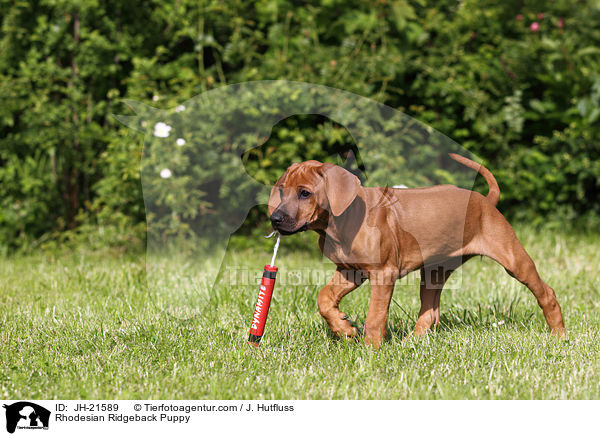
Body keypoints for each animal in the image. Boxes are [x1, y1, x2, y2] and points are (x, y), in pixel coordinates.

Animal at [270, 154, 564, 348]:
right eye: (282, 191)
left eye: (305, 193)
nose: (275, 219)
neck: (342, 222)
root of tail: (486, 201)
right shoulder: (350, 270)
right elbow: (324, 298)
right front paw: (343, 328)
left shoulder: (383, 273)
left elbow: (375, 316)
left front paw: (371, 349)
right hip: (434, 271)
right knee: (430, 312)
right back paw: (411, 342)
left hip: (514, 259)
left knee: (546, 292)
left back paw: (559, 334)